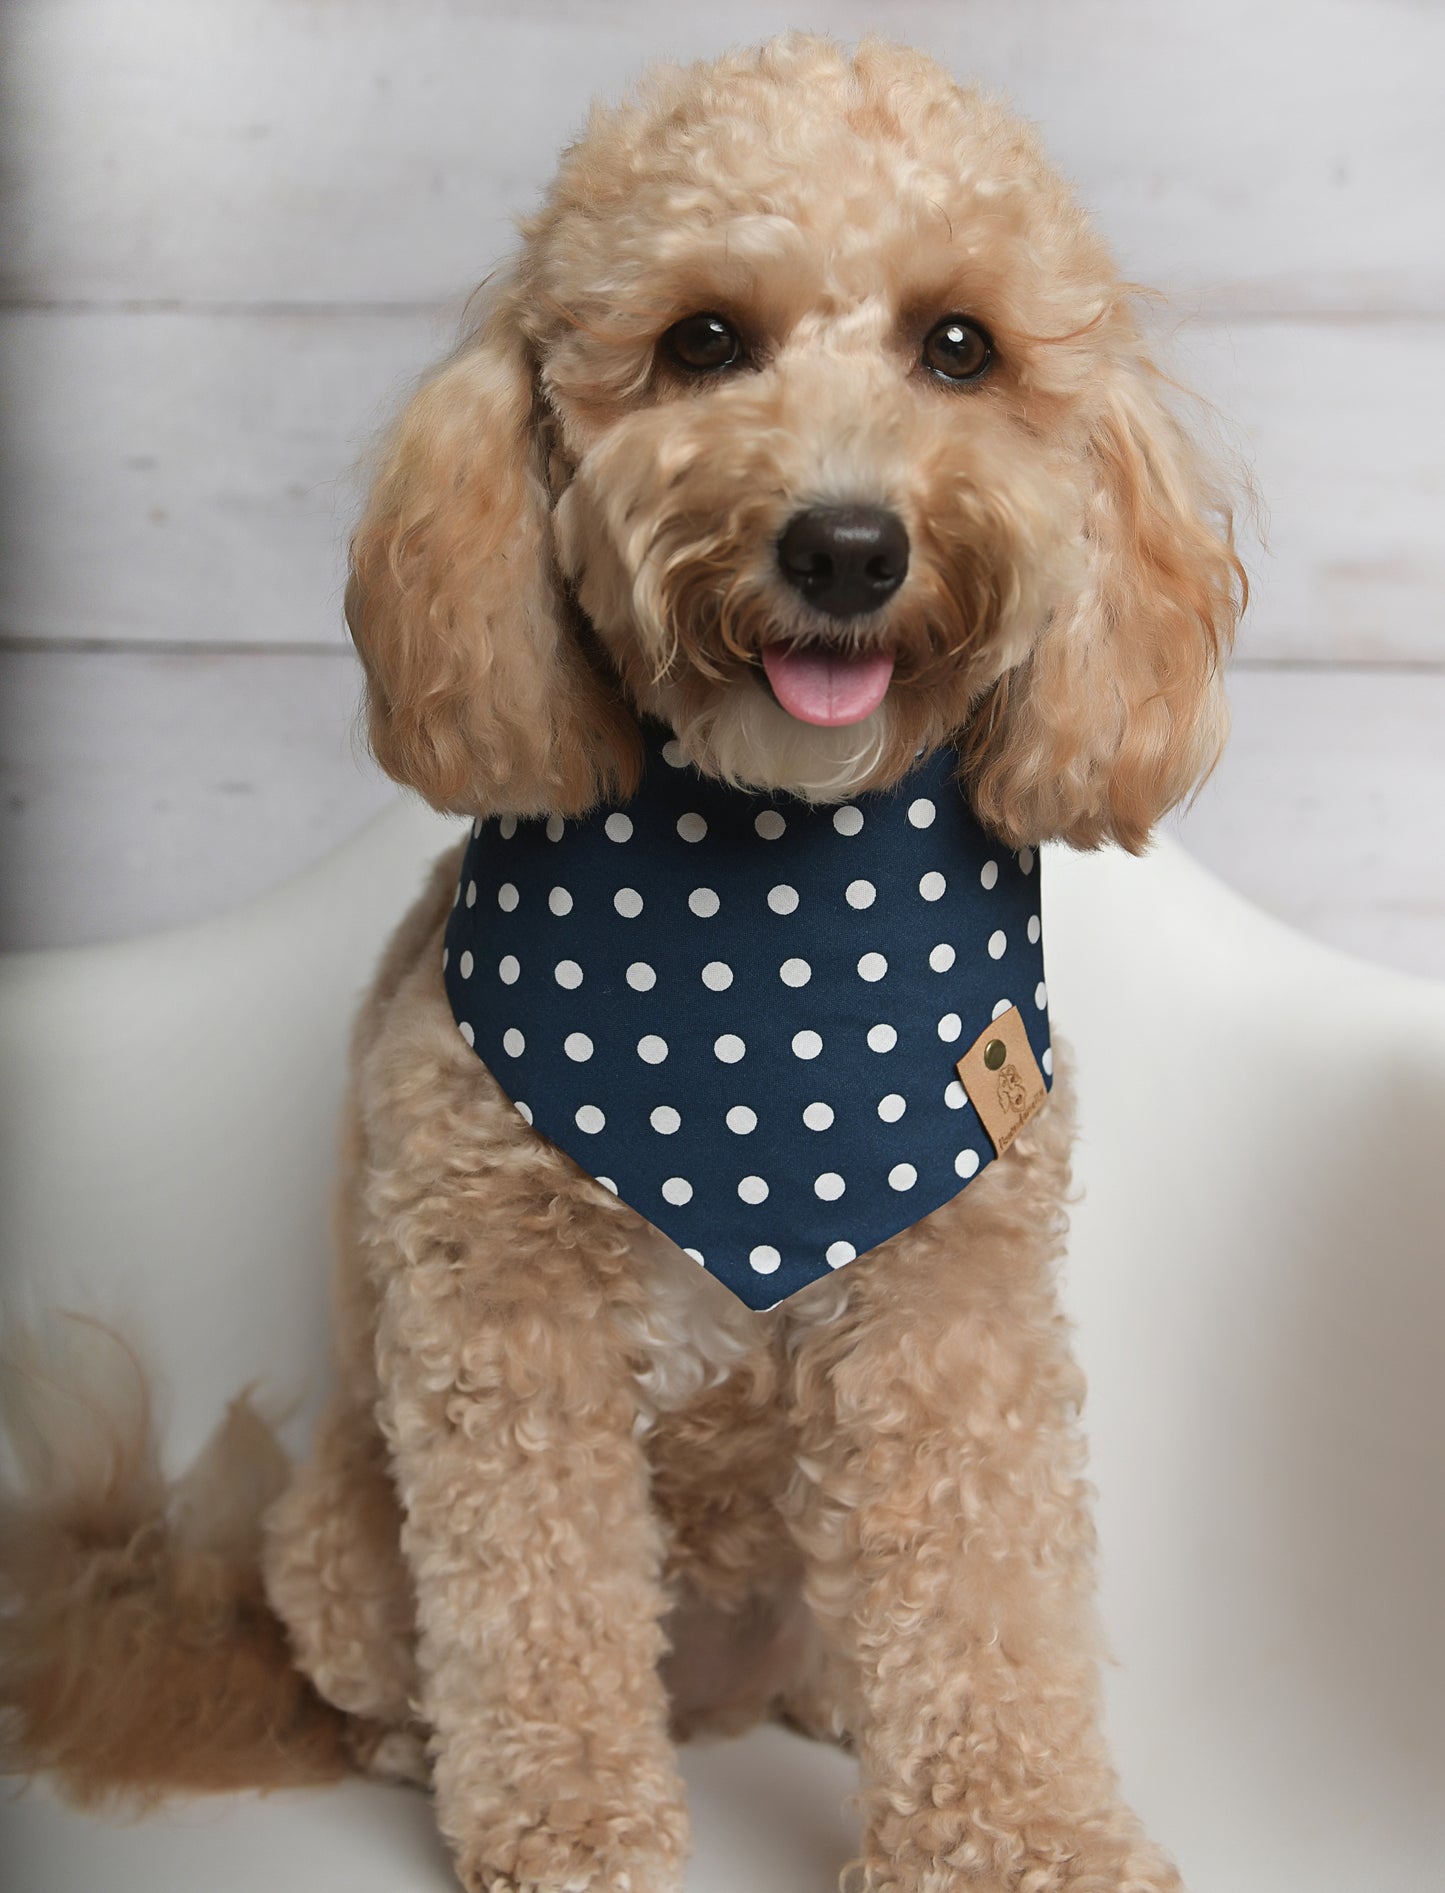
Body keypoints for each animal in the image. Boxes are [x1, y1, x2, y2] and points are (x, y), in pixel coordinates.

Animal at [0, 33, 1242, 1893]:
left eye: (960, 346)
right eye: (702, 341)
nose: (847, 546)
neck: (764, 920)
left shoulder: (955, 1317)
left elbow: (981, 1591)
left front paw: (1031, 1831)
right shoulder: (507, 1325)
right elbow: (539, 1604)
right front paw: (574, 1823)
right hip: (346, 1538)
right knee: (400, 1668)